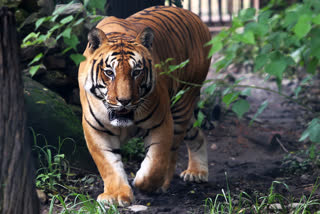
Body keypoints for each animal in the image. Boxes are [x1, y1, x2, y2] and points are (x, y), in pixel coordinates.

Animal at [78, 5, 211, 206]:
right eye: (109, 73)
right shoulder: (95, 129)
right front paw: (116, 195)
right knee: (197, 133)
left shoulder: (161, 123)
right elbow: (108, 164)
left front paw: (144, 184)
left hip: (182, 103)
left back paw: (169, 181)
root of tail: (195, 17)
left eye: (136, 72)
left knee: (173, 150)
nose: (124, 100)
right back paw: (197, 172)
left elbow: (156, 162)